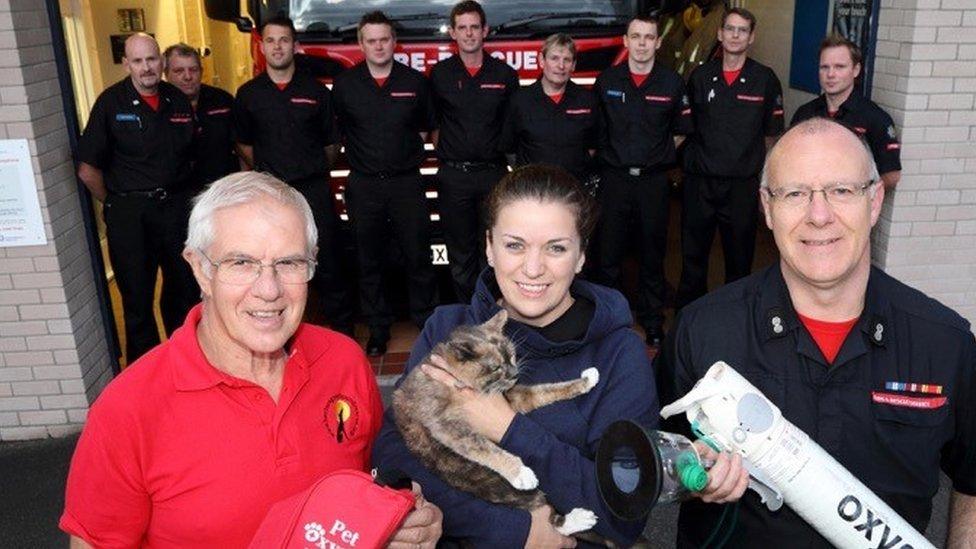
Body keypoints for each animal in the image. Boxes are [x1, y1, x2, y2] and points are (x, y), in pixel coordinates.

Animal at [392, 308, 600, 536]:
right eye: (495, 367)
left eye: (512, 355)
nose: (515, 373)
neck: (453, 377)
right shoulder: (444, 424)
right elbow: (483, 447)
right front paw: (520, 472)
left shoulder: (513, 396)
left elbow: (544, 391)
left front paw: (586, 381)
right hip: (494, 486)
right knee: (548, 516)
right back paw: (576, 519)